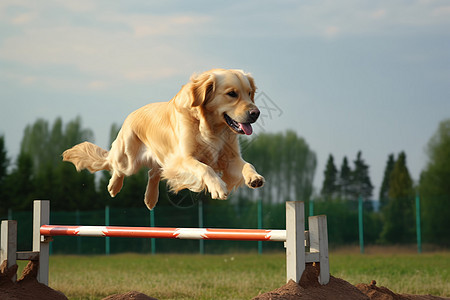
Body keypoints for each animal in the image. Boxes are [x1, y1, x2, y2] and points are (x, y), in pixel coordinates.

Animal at [62, 68, 266, 210]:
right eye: (232, 94)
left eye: (249, 93)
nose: (256, 113)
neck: (211, 127)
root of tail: (131, 115)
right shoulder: (183, 158)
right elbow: (205, 168)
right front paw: (218, 187)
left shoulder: (229, 158)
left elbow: (248, 164)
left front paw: (254, 178)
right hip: (128, 158)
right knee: (116, 166)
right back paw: (114, 186)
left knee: (153, 172)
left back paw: (150, 199)